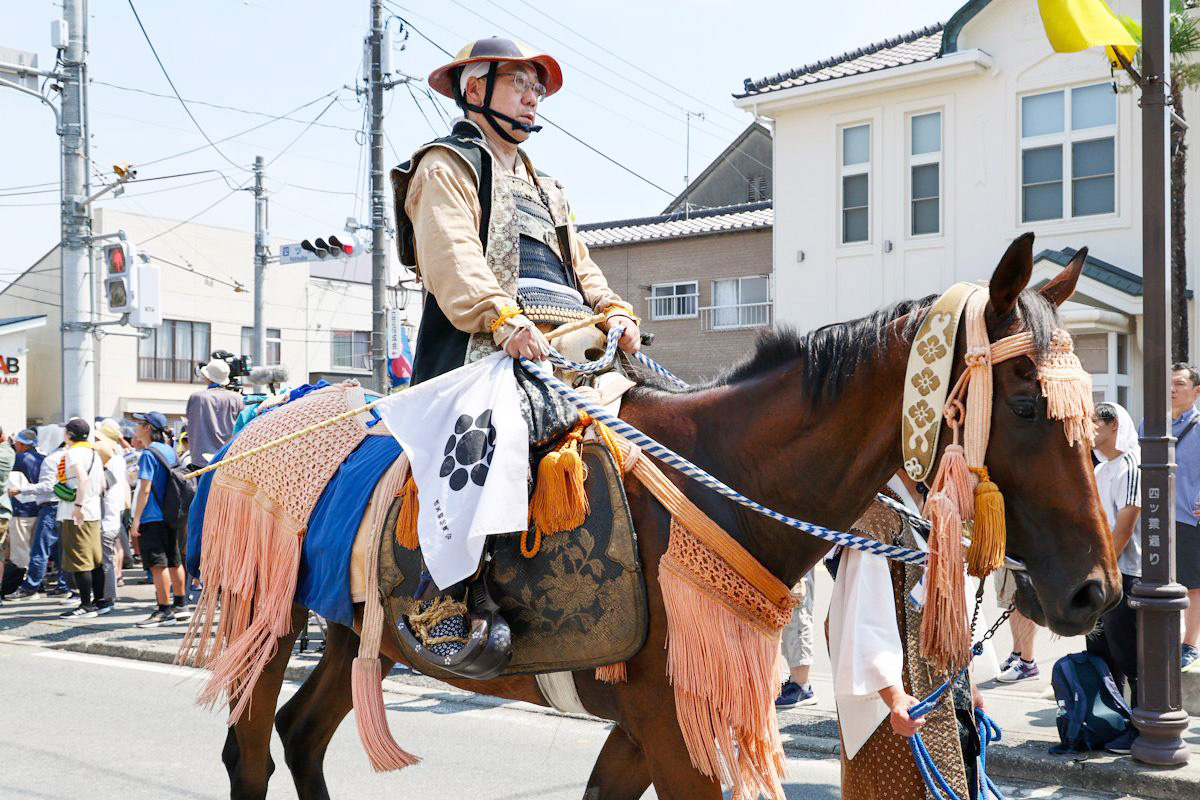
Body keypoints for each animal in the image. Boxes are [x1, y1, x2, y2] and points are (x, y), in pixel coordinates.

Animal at [211, 232, 1118, 800]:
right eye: (1028, 404)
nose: (1097, 593)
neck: (723, 480)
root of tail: (263, 416)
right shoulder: (675, 727)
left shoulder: (651, 723)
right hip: (263, 615)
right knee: (249, 754)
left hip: (354, 631)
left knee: (301, 734)